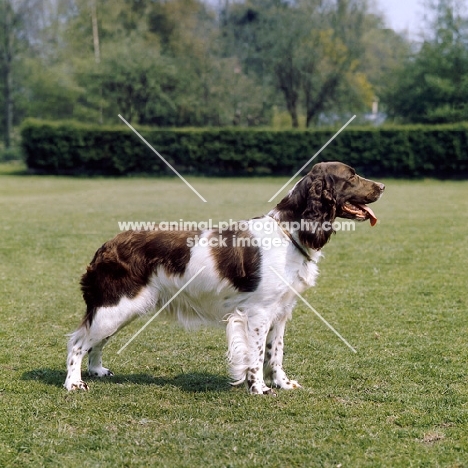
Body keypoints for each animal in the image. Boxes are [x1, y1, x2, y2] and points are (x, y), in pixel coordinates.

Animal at [65, 163, 384, 394]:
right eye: (352, 176)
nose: (382, 186)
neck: (289, 233)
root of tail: (106, 246)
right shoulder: (258, 313)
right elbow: (256, 355)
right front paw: (259, 389)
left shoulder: (280, 311)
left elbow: (275, 353)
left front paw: (282, 384)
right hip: (115, 306)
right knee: (78, 342)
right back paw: (74, 383)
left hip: (121, 309)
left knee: (95, 342)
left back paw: (97, 371)